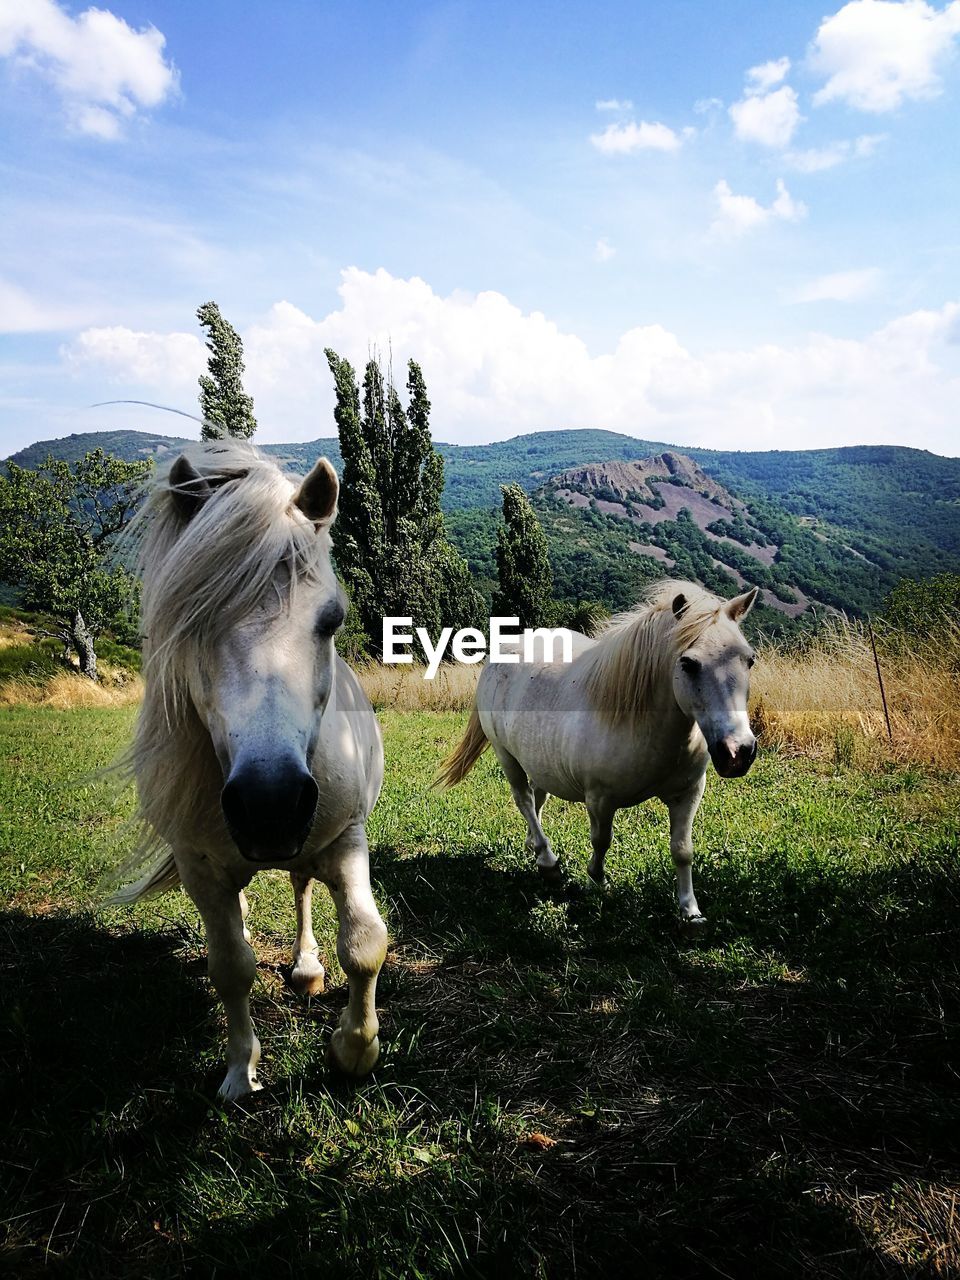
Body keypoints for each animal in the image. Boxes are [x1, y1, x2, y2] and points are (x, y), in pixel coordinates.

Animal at [108, 442, 386, 1100]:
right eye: (192, 621)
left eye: (332, 621)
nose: (270, 806)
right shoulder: (199, 867)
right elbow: (231, 967)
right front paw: (241, 1071)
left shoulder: (346, 838)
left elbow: (365, 942)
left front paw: (353, 1051)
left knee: (302, 886)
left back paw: (307, 967)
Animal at [440, 581, 762, 921]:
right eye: (688, 663)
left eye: (750, 660)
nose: (738, 752)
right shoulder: (600, 799)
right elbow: (601, 840)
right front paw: (596, 879)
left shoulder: (687, 794)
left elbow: (683, 849)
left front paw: (690, 909)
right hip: (507, 756)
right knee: (523, 799)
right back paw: (548, 862)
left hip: (538, 758)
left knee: (537, 798)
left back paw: (534, 847)